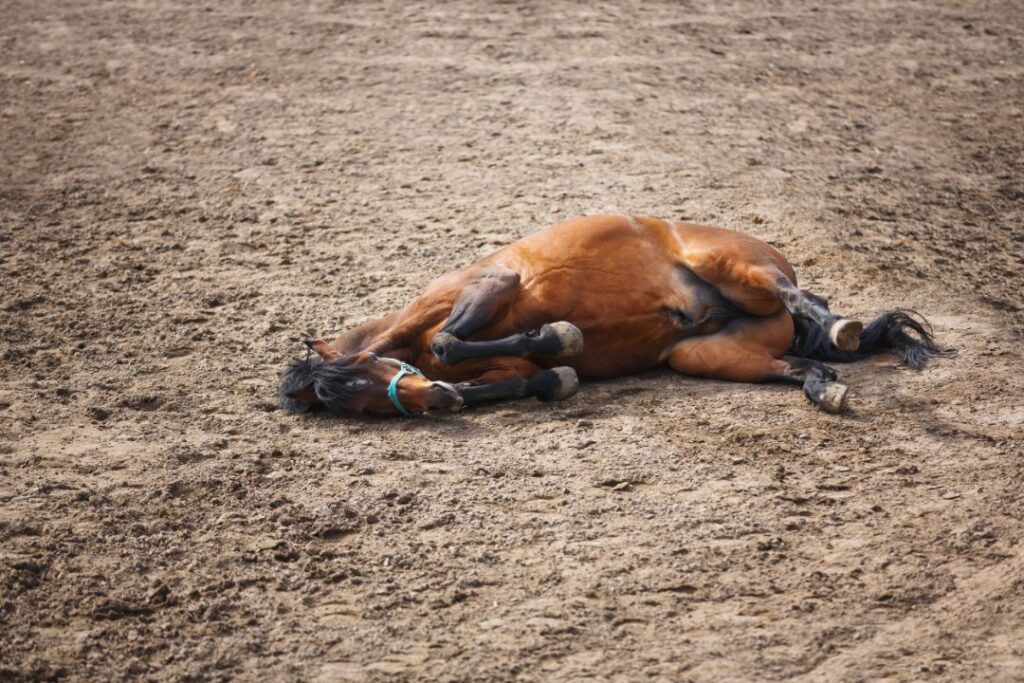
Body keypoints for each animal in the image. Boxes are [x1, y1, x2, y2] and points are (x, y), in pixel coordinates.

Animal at [278, 215, 940, 417]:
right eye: (356, 405)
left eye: (362, 381)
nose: (436, 404)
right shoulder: (503, 369)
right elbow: (524, 378)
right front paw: (556, 371)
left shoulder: (488, 286)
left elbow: (448, 342)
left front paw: (562, 339)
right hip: (706, 354)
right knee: (799, 365)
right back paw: (823, 388)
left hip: (733, 265)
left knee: (809, 303)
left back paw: (837, 327)